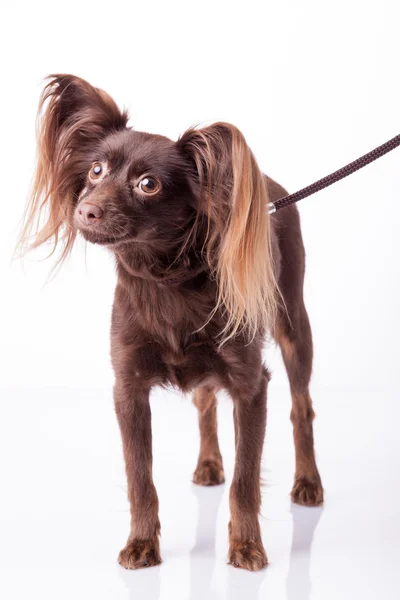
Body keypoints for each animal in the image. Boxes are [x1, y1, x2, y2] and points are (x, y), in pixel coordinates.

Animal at [20, 74, 324, 572]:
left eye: (148, 184)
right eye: (96, 171)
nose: (85, 210)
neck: (166, 280)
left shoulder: (250, 386)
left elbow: (245, 480)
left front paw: (246, 545)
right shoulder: (128, 389)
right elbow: (140, 478)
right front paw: (142, 543)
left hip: (293, 325)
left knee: (301, 408)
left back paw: (309, 482)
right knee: (204, 400)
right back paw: (209, 464)